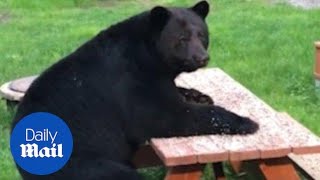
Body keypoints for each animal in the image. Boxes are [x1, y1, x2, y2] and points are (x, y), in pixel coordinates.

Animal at [11, 1, 258, 179]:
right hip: (85, 163)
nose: (202, 58)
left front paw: (200, 95)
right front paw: (247, 122)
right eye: (182, 38)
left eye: (202, 35)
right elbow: (164, 116)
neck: (148, 54)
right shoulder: (130, 81)